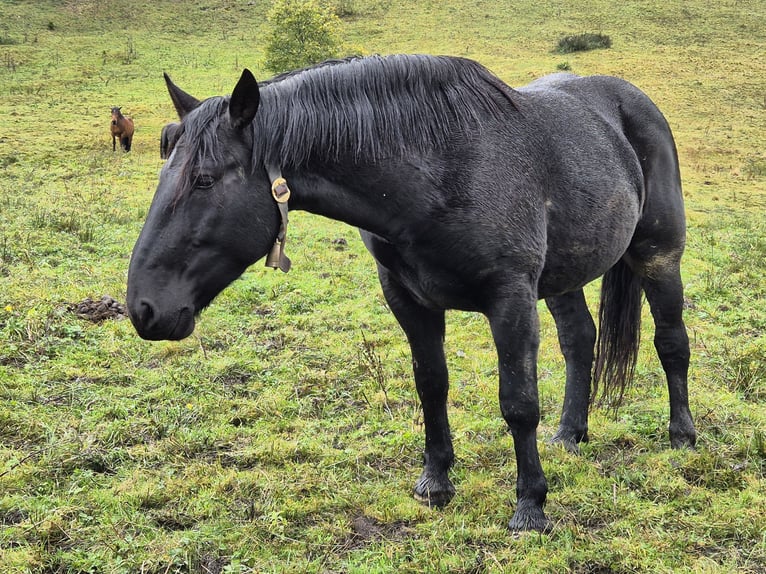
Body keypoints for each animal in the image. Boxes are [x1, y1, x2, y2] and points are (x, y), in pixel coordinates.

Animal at [129, 56, 700, 532]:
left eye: (204, 180)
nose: (144, 309)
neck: (440, 169)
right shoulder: (409, 300)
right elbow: (431, 386)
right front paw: (437, 482)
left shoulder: (510, 299)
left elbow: (518, 403)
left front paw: (530, 507)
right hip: (565, 277)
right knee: (581, 340)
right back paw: (569, 434)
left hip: (658, 255)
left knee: (672, 344)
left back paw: (682, 438)